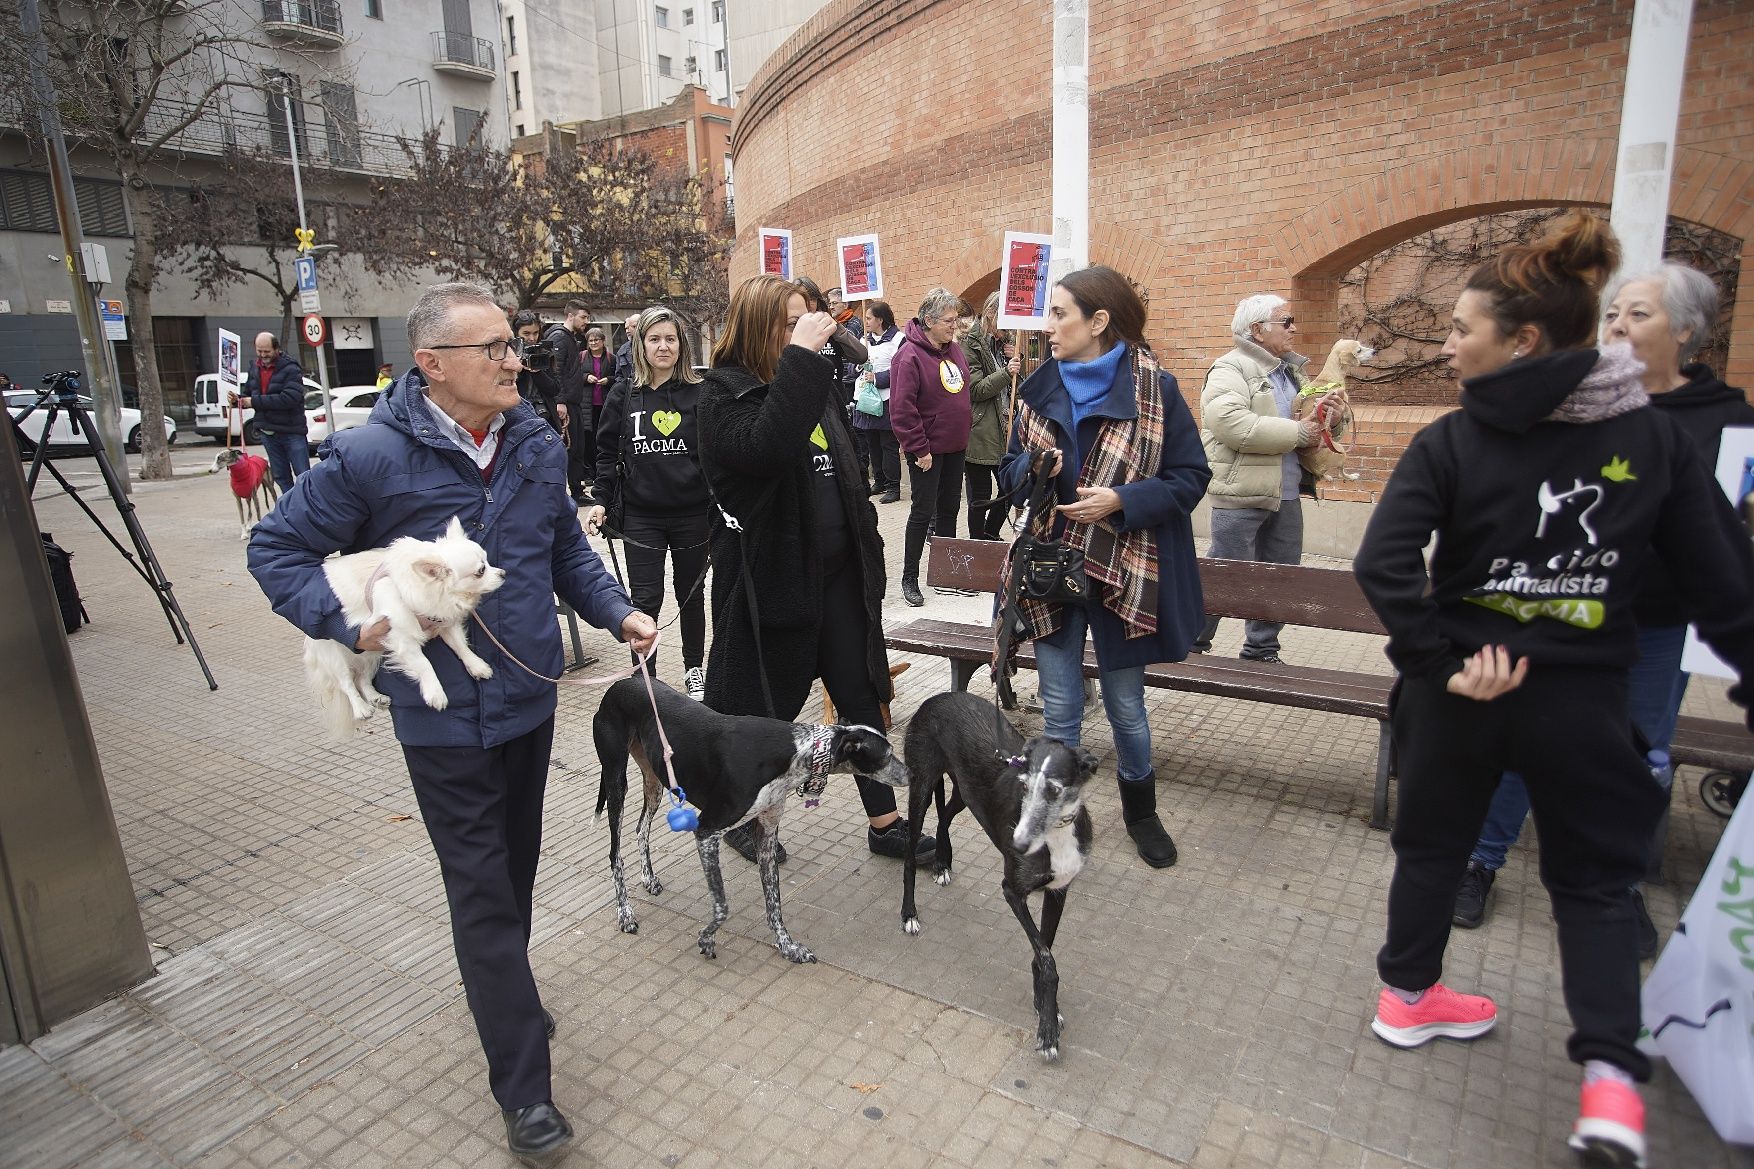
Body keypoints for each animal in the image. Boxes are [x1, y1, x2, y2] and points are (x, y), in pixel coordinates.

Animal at [301, 516, 505, 737]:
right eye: (481, 571)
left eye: (488, 562)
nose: (503, 573)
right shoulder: (402, 638)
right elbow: (424, 664)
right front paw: (435, 693)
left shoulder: (442, 620)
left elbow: (460, 646)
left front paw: (477, 666)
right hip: (336, 653)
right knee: (346, 682)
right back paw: (361, 708)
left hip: (373, 651)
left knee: (362, 678)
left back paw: (375, 697)